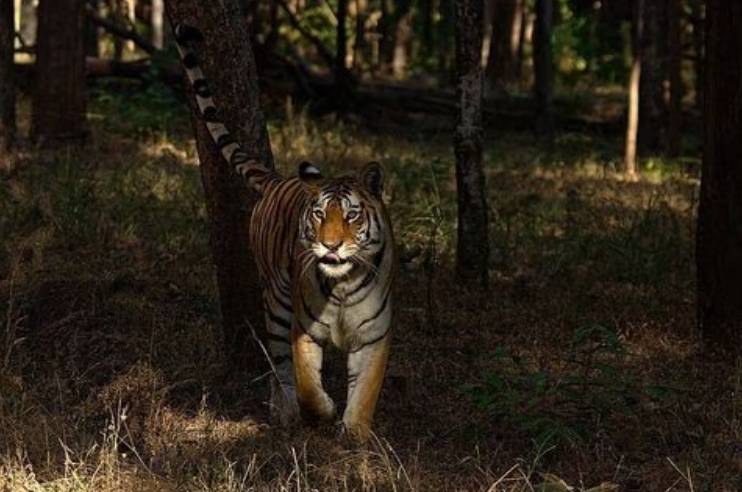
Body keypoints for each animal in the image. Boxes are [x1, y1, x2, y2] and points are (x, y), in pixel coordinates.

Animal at [173, 24, 395, 441]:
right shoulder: (302, 329)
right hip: (275, 301)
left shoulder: (373, 336)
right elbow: (306, 381)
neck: (342, 286)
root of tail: (277, 179)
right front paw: (321, 412)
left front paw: (356, 434)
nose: (330, 245)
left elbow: (366, 391)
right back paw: (285, 412)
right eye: (321, 214)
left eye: (352, 215)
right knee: (279, 366)